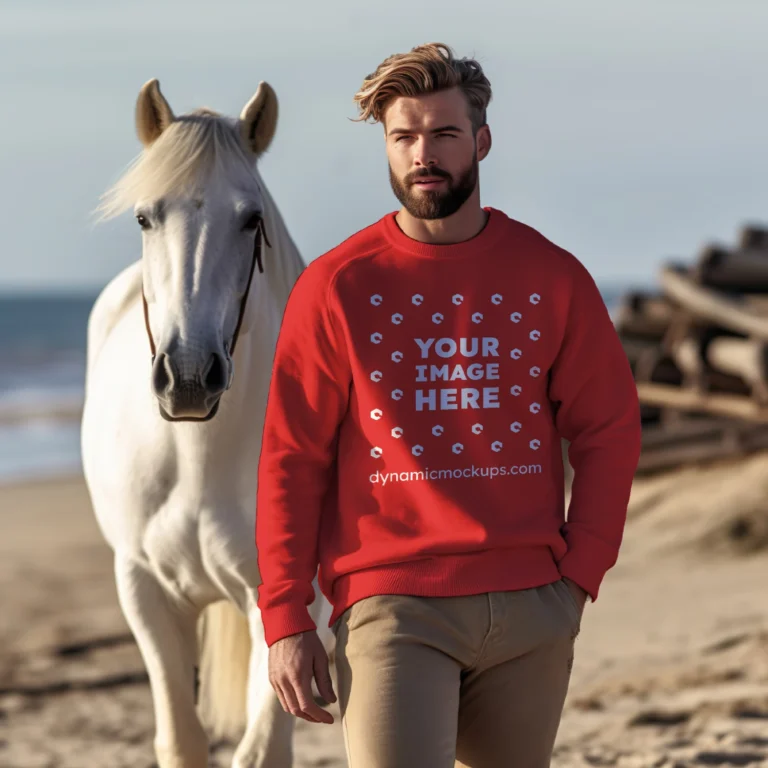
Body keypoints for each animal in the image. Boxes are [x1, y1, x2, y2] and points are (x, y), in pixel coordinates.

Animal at [82, 79, 332, 768]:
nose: (189, 377)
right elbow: (182, 740)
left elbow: (261, 749)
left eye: (251, 219)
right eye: (145, 217)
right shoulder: (144, 591)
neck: (199, 459)